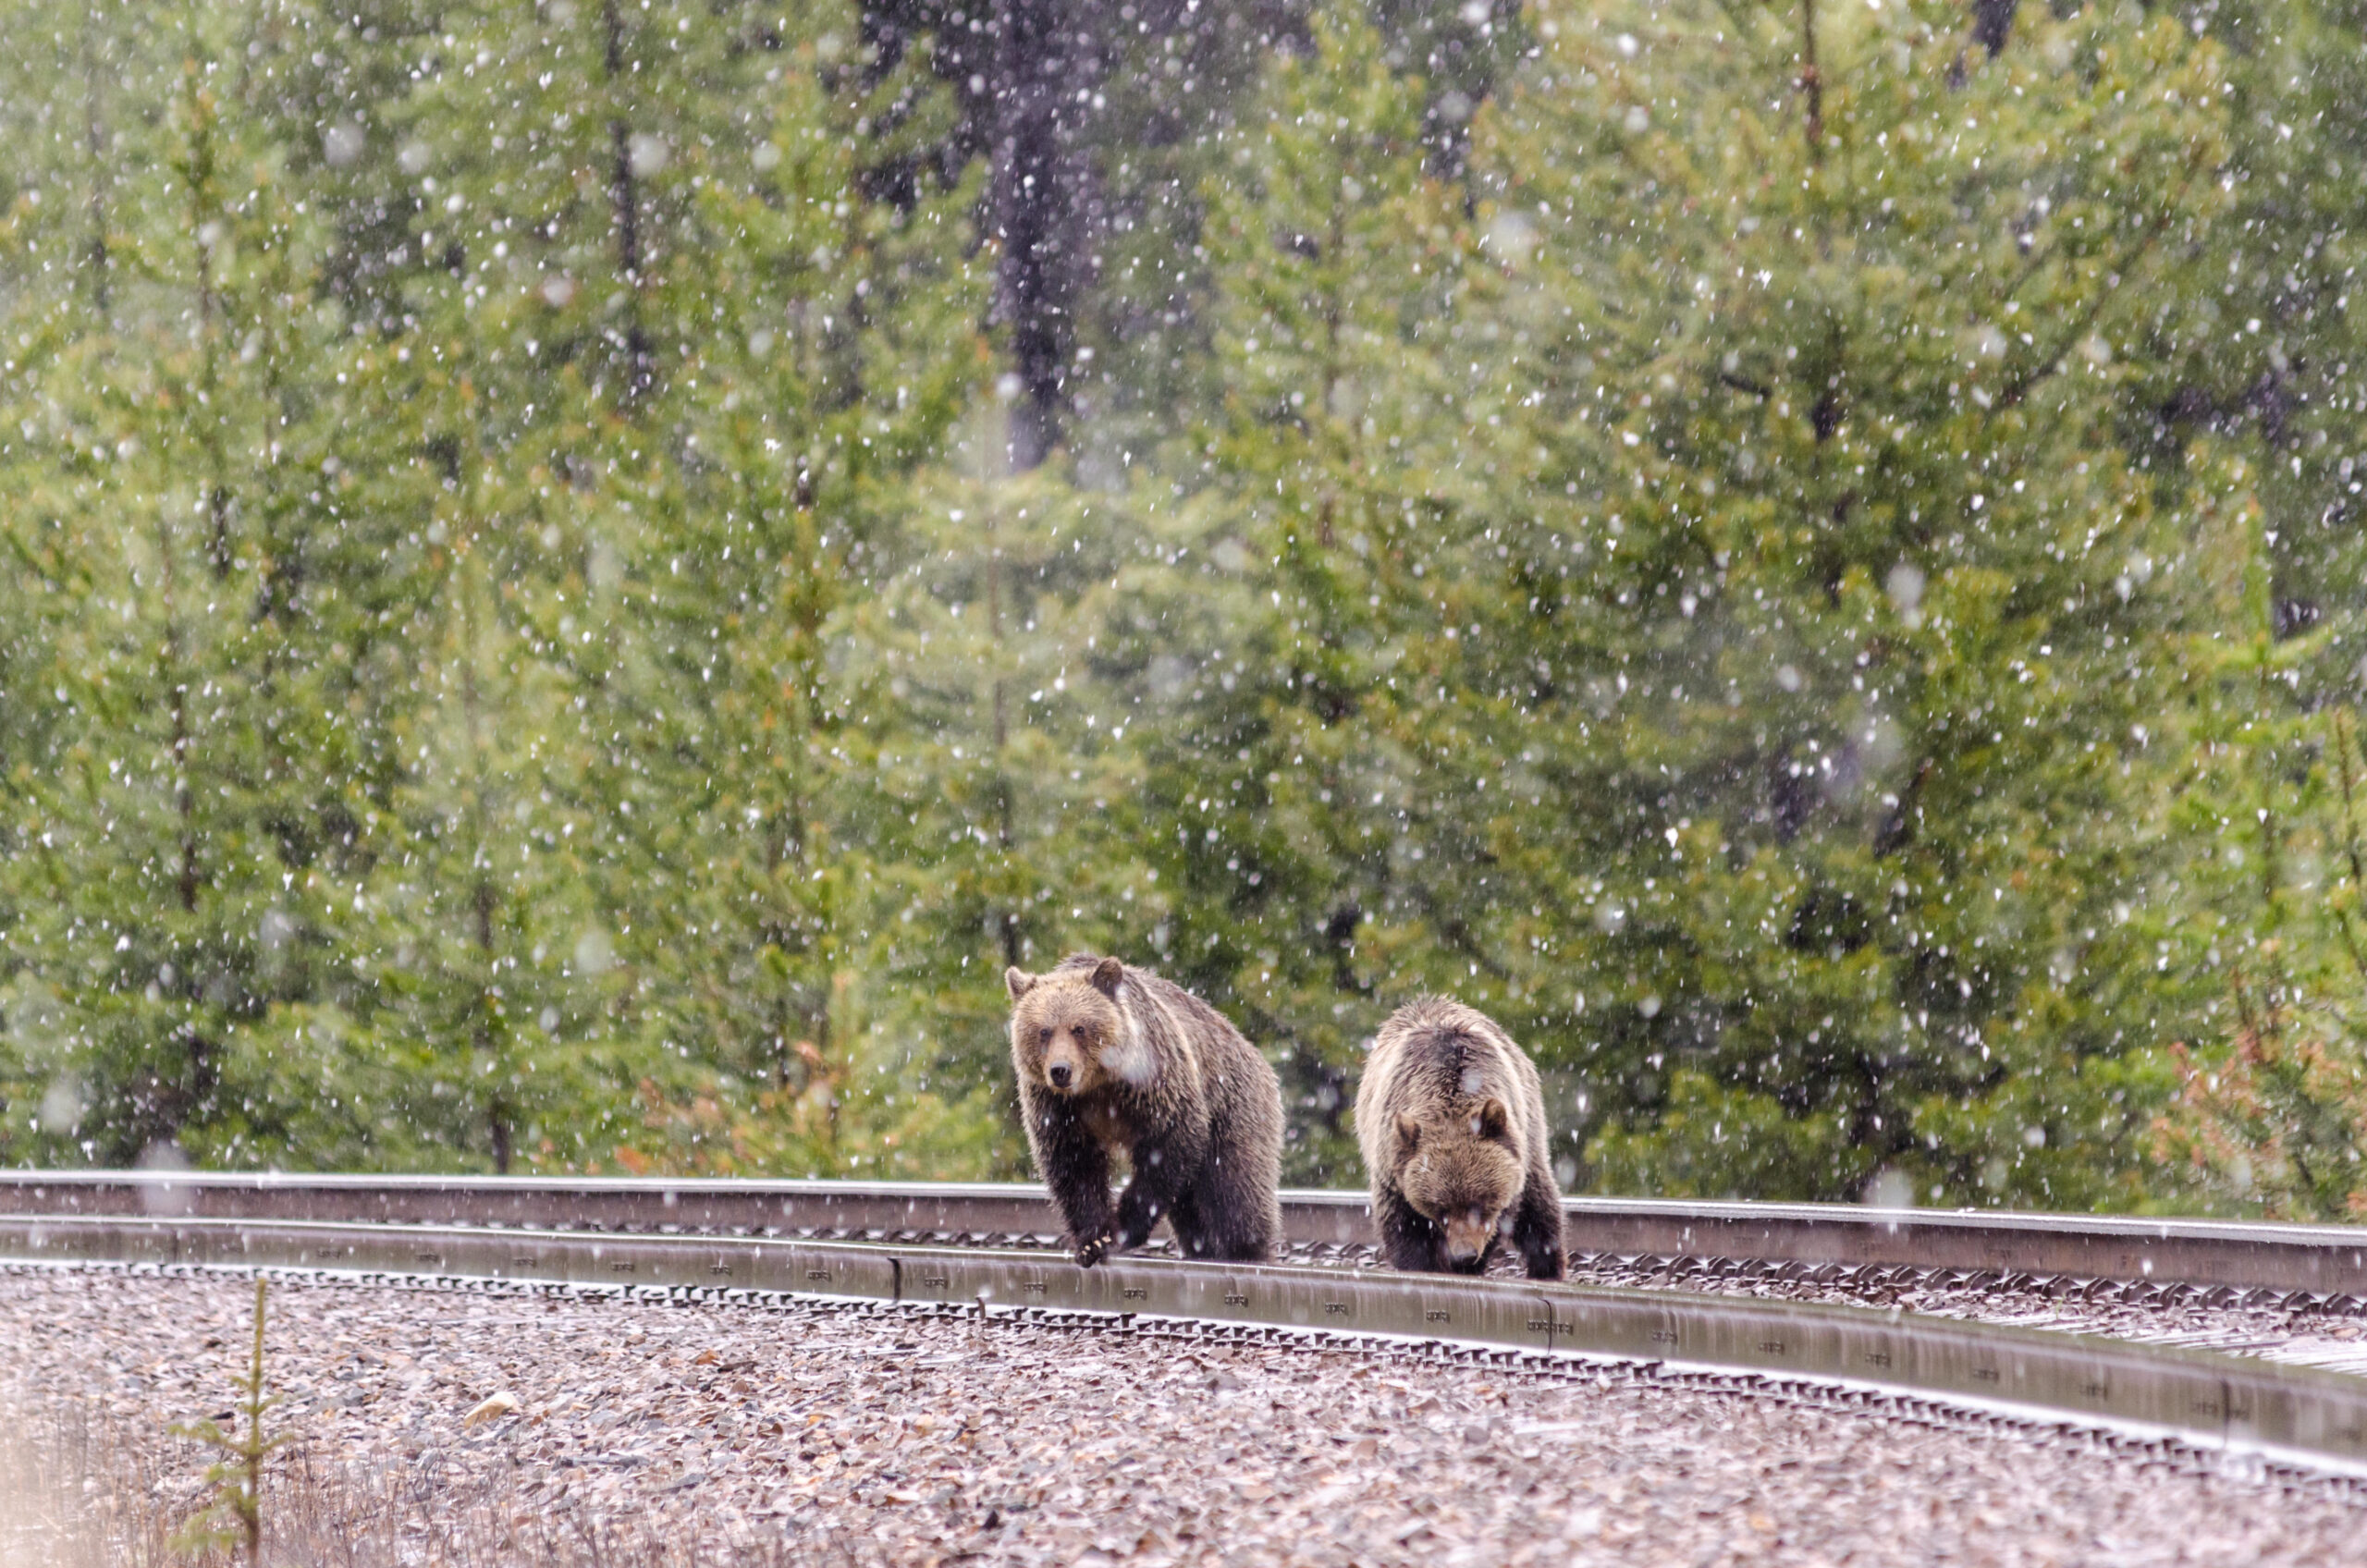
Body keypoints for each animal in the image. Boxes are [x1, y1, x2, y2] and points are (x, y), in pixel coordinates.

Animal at [1005, 953, 1284, 1267]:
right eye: (1044, 1031)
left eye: (1079, 1028)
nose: (1060, 1070)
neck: (1099, 1085)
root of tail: (1253, 1052)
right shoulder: (1058, 1108)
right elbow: (1074, 1165)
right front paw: (1093, 1240)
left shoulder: (1153, 1082)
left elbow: (1169, 1143)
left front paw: (1124, 1229)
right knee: (1193, 1210)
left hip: (1233, 1106)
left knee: (1237, 1190)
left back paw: (1248, 1252)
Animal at [1355, 996, 1566, 1279]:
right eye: (1440, 1207)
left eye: (1479, 1201)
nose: (1464, 1254)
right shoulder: (1393, 1165)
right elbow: (1404, 1227)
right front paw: (1423, 1266)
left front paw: (1469, 1265)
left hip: (1531, 1129)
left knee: (1540, 1208)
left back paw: (1547, 1269)